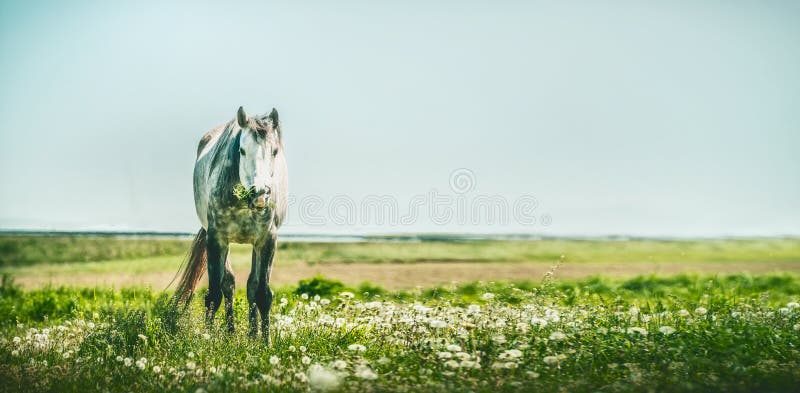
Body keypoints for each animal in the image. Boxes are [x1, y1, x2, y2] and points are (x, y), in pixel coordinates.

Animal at [173, 105, 290, 338]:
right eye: (242, 151)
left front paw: (265, 341)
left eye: (274, 151)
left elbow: (263, 293)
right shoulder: (216, 238)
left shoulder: (267, 240)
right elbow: (214, 294)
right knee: (228, 284)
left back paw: (252, 335)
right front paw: (208, 338)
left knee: (252, 284)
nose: (260, 194)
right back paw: (230, 332)